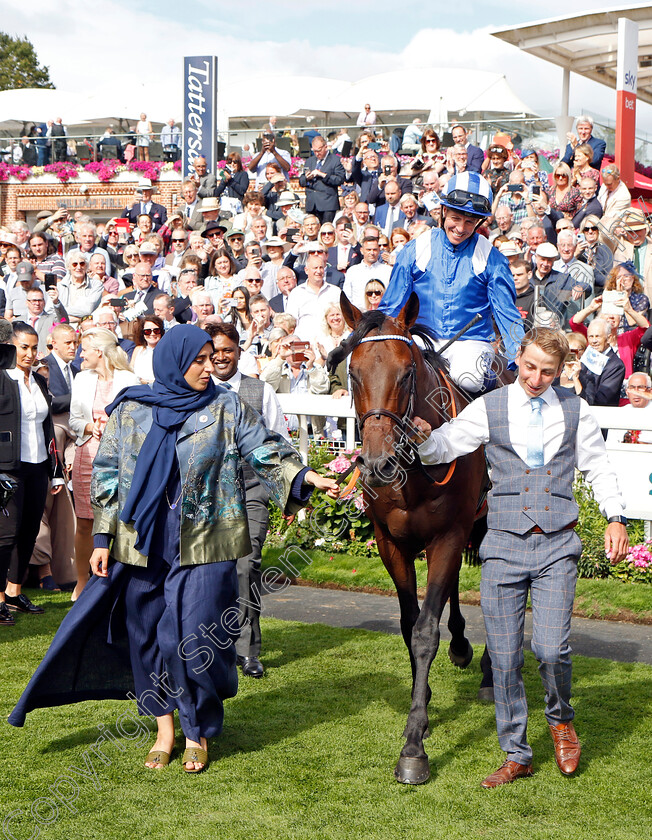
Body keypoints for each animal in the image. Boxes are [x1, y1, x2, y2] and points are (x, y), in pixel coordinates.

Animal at [332, 292, 488, 784]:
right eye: (354, 372)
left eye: (406, 373)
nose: (376, 464)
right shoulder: (391, 543)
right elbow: (408, 621)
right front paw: (426, 698)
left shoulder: (450, 535)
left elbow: (424, 631)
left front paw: (414, 744)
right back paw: (460, 645)